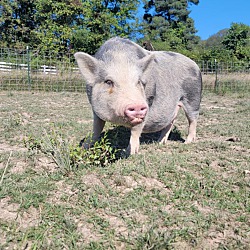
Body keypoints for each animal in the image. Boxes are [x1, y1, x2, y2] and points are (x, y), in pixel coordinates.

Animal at [73, 36, 201, 154]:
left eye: (139, 81)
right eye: (108, 82)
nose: (137, 105)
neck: (120, 57)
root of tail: (196, 65)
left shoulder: (147, 104)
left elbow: (136, 130)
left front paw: (129, 153)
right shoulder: (94, 107)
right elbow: (96, 128)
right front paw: (83, 148)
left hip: (193, 98)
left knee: (193, 120)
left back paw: (187, 142)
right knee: (171, 122)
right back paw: (160, 142)